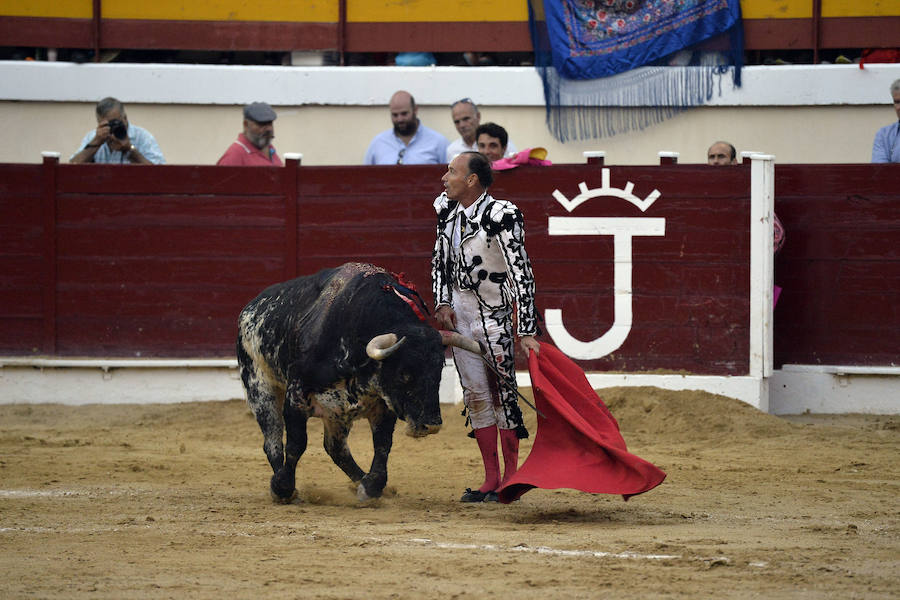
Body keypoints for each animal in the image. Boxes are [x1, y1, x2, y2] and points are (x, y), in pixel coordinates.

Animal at [236, 262, 482, 502]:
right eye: (403, 373)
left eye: (438, 370)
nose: (430, 425)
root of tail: (249, 308)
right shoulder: (296, 397)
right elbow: (297, 443)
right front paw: (282, 487)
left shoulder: (383, 405)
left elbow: (383, 444)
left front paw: (371, 487)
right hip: (259, 386)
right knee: (273, 442)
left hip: (336, 413)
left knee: (336, 448)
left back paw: (361, 480)